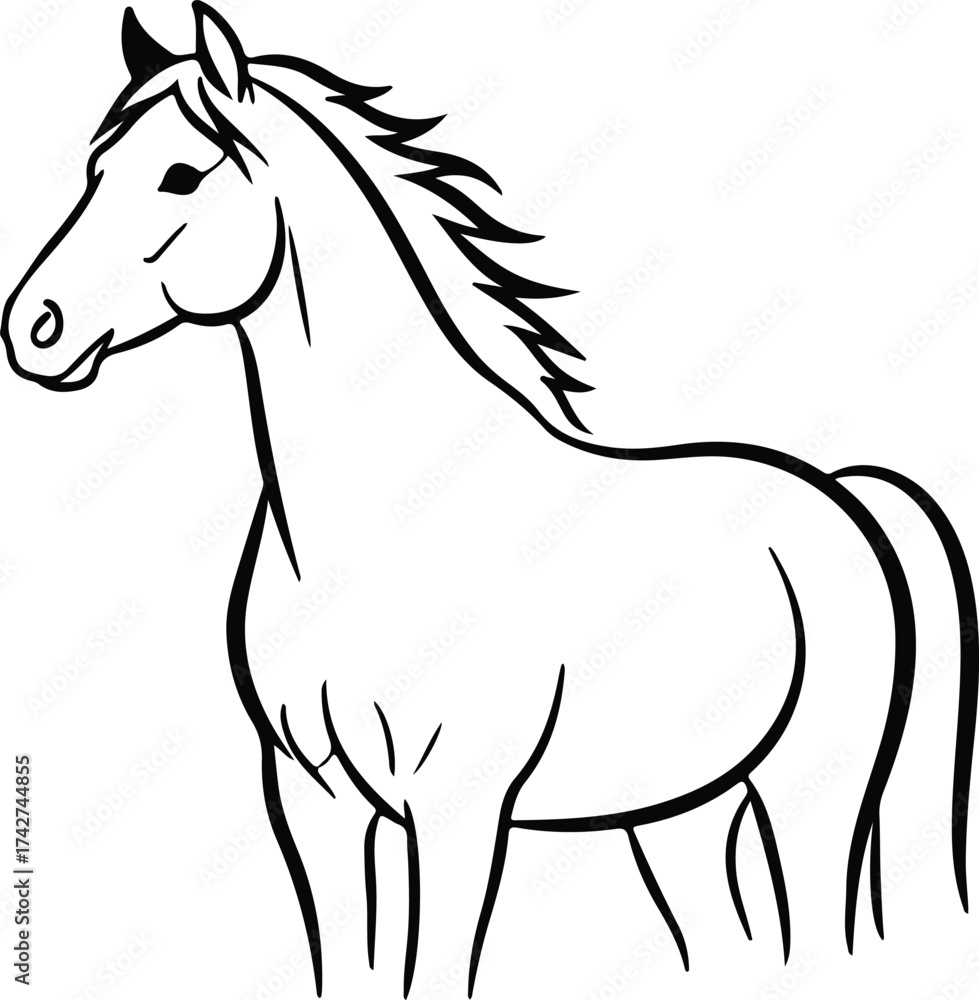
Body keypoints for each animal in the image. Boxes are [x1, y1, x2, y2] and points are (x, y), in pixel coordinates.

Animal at [2, 5, 975, 997]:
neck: (376, 527)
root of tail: (842, 496)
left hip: (811, 788)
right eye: (94, 170)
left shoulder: (456, 808)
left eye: (181, 175)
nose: (33, 329)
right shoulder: (311, 800)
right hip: (680, 814)